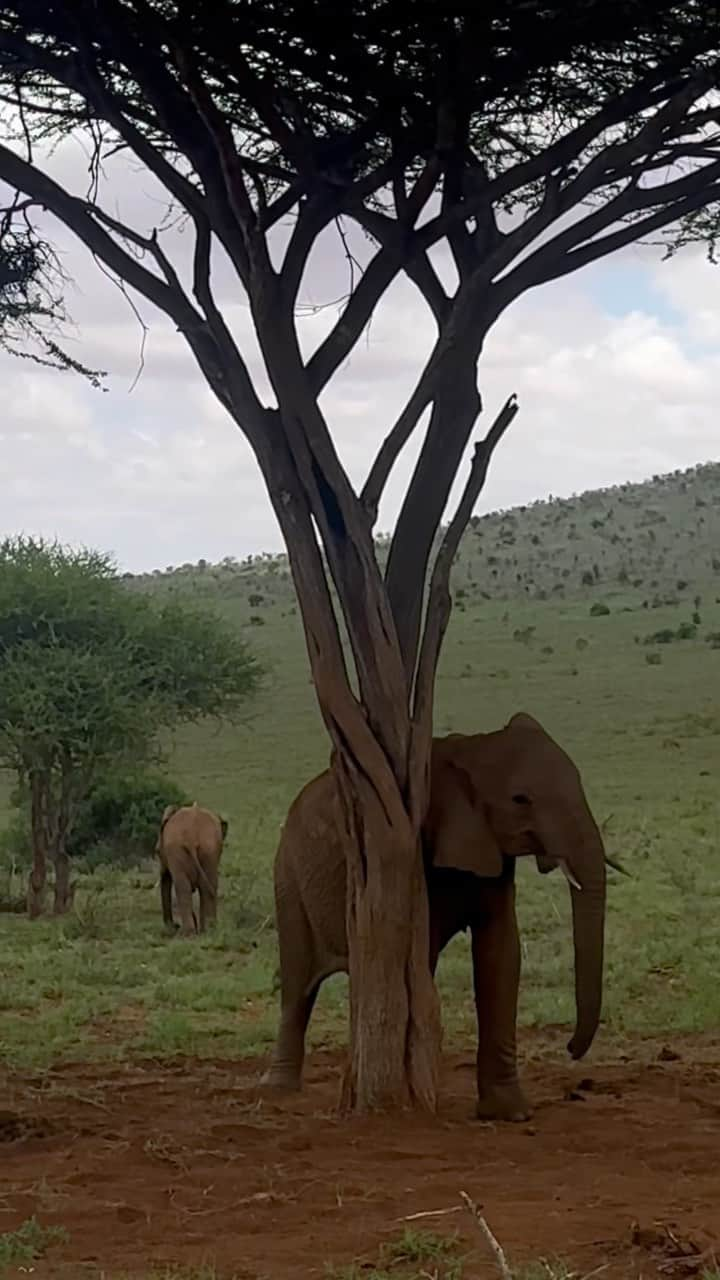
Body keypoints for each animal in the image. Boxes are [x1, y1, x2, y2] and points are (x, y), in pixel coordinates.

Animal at [154, 793, 226, 936]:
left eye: (158, 852)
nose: (175, 926)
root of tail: (190, 836)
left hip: (178, 850)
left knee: (183, 886)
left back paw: (189, 933)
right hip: (208, 849)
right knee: (208, 884)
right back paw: (207, 930)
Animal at [262, 711, 617, 1121]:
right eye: (520, 799)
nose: (571, 1049)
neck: (475, 748)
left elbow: (501, 953)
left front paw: (509, 1113)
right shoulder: (421, 853)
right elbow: (426, 954)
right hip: (287, 878)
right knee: (297, 985)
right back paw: (278, 1089)